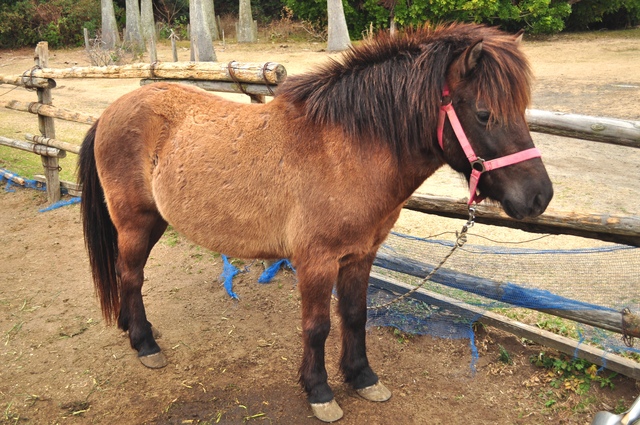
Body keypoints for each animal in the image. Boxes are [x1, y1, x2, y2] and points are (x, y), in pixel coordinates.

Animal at [78, 22, 553, 422]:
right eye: (485, 113)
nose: (539, 197)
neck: (345, 150)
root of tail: (111, 111)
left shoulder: (361, 255)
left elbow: (355, 315)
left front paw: (363, 378)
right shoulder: (316, 262)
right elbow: (318, 326)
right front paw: (320, 392)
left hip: (153, 222)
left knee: (127, 275)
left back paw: (132, 328)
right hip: (136, 223)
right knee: (131, 275)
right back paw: (145, 343)